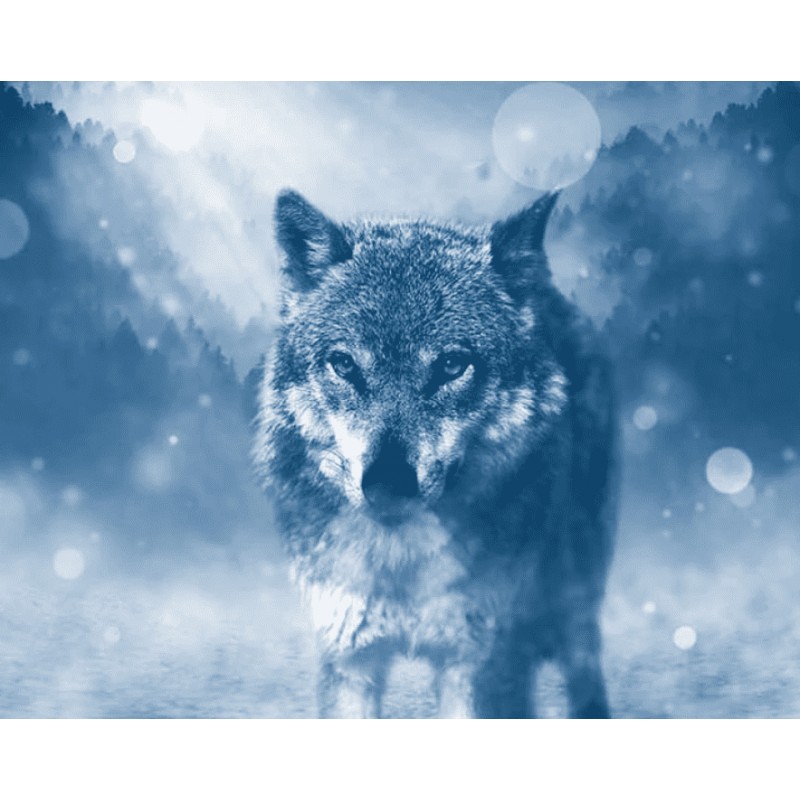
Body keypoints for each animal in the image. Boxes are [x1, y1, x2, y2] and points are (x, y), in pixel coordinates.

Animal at [253, 189, 617, 718]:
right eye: (344, 364)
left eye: (451, 365)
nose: (387, 483)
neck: (401, 562)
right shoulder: (349, 657)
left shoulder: (477, 664)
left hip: (574, 590)